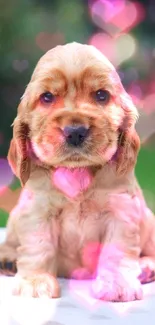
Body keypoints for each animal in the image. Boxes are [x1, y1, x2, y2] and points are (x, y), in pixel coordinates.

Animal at [1, 41, 155, 300]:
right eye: (47, 97)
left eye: (101, 95)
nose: (75, 131)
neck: (77, 171)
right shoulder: (38, 208)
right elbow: (38, 245)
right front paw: (36, 281)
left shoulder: (121, 209)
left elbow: (117, 249)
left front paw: (117, 285)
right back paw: (8, 259)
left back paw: (146, 268)